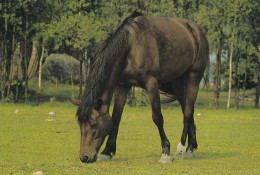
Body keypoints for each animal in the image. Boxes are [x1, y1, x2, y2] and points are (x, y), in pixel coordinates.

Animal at [70, 10, 209, 163]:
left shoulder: (151, 83)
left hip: (193, 79)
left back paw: (181, 148)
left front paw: (165, 151)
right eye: (80, 124)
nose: (85, 157)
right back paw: (190, 147)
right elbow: (116, 117)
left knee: (188, 112)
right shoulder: (122, 87)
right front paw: (107, 151)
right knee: (187, 109)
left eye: (93, 124)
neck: (132, 46)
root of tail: (196, 30)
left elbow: (157, 117)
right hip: (176, 82)